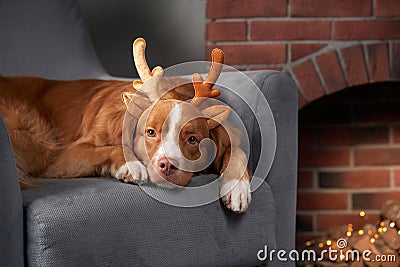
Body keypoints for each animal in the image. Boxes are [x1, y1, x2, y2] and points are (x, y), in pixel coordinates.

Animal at [0, 37, 250, 214]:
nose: (167, 166)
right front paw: (131, 165)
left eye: (192, 139)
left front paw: (237, 187)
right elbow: (113, 147)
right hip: (40, 141)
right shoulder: (65, 156)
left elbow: (235, 150)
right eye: (150, 132)